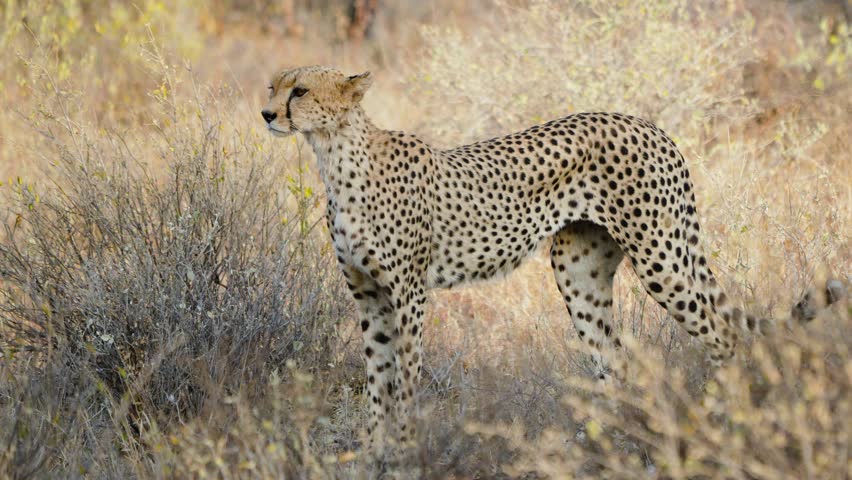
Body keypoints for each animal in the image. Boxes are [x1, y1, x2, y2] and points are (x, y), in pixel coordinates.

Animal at [261, 65, 832, 457]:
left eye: (299, 91)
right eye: (273, 87)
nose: (266, 114)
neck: (334, 154)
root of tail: (649, 124)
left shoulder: (408, 294)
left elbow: (403, 376)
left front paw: (401, 446)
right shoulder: (369, 295)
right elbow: (378, 376)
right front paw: (375, 448)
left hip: (660, 257)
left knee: (724, 335)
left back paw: (722, 423)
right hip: (578, 271)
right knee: (614, 360)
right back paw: (603, 445)